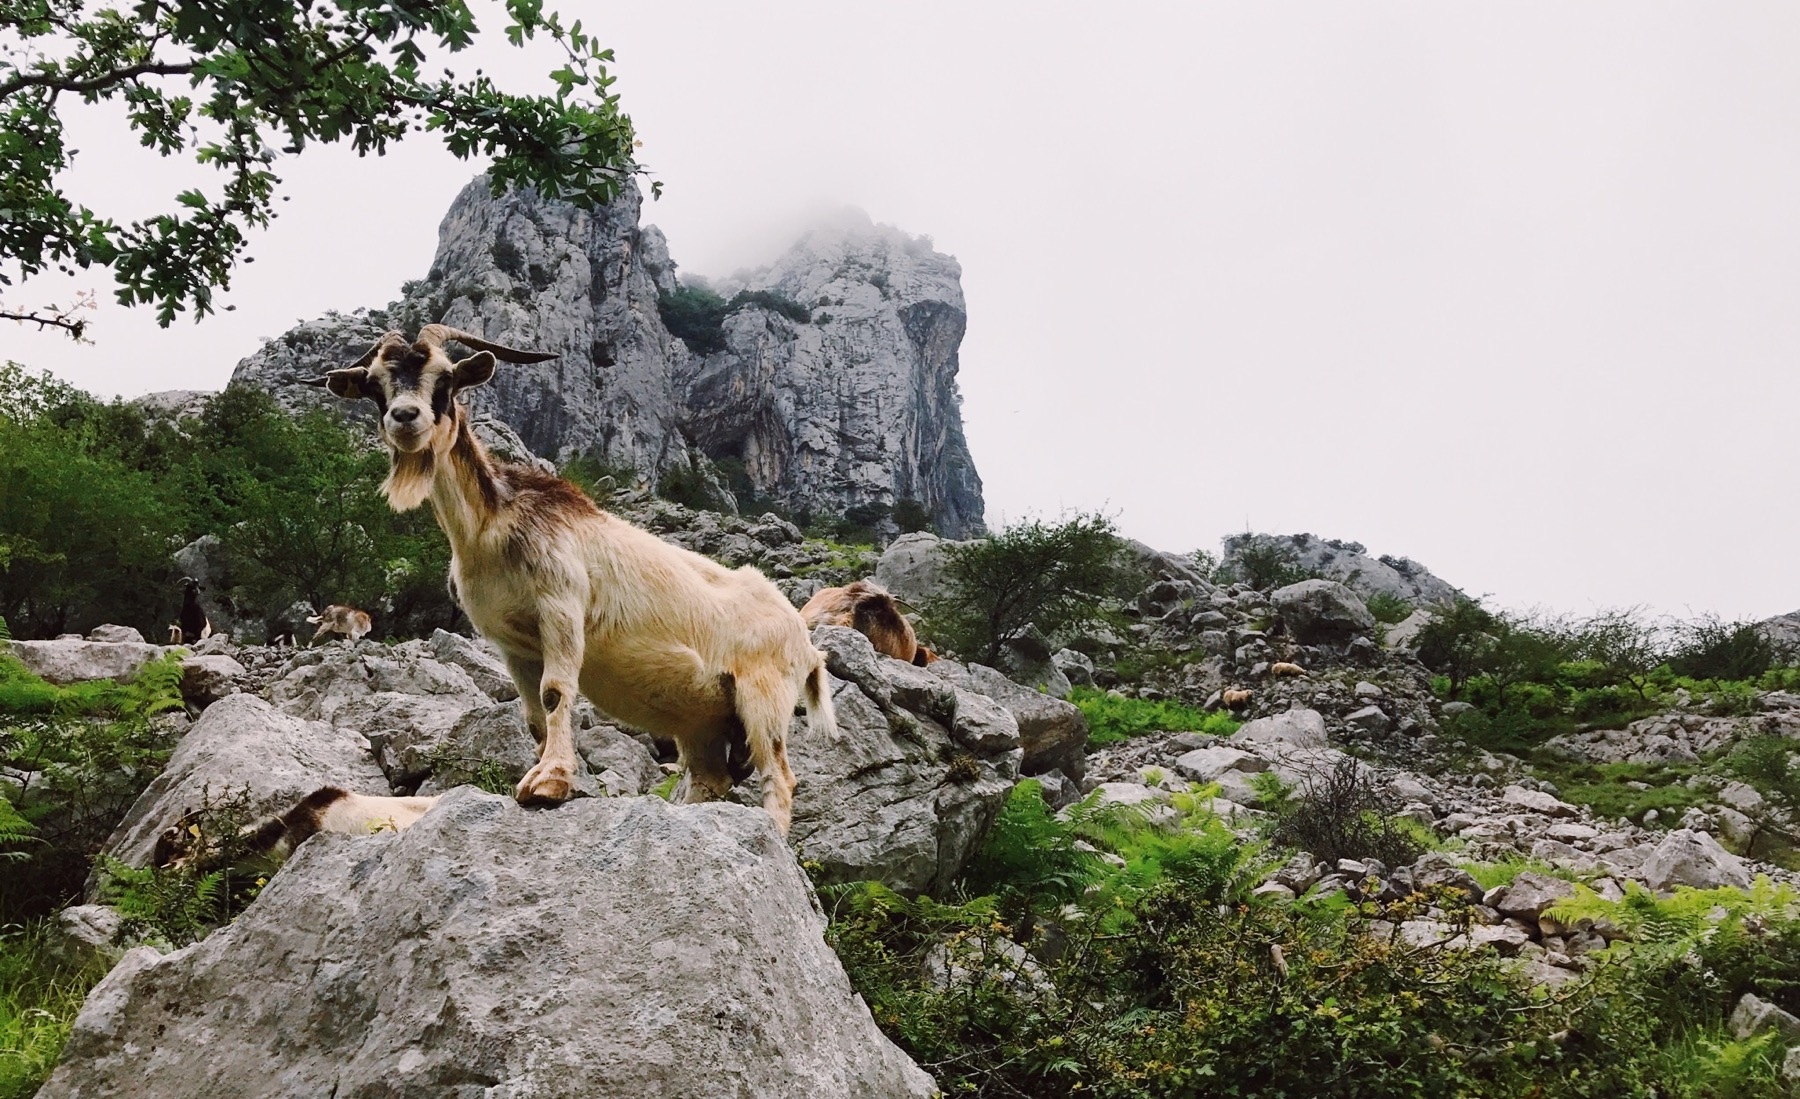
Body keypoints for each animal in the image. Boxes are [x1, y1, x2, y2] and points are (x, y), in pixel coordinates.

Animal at [311, 327, 835, 834]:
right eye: (376, 385)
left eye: (445, 378)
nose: (405, 417)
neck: (493, 527)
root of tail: (807, 645)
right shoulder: (511, 643)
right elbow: (533, 716)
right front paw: (541, 774)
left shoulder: (560, 607)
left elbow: (556, 691)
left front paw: (551, 782)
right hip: (702, 719)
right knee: (712, 776)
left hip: (763, 696)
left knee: (779, 776)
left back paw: (772, 837)